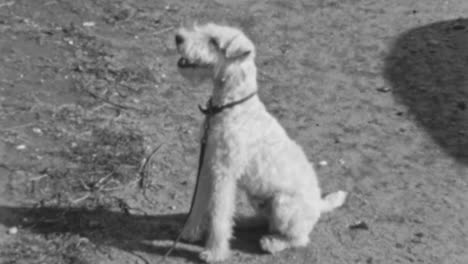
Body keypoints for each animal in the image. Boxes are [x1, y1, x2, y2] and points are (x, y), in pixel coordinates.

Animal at [174, 22, 346, 262]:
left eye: (214, 41)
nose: (178, 37)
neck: (231, 106)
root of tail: (319, 205)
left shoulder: (224, 173)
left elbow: (219, 215)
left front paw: (214, 253)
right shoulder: (208, 165)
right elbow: (199, 203)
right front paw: (190, 233)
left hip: (283, 205)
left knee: (298, 238)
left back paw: (271, 243)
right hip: (259, 200)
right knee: (266, 220)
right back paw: (245, 222)